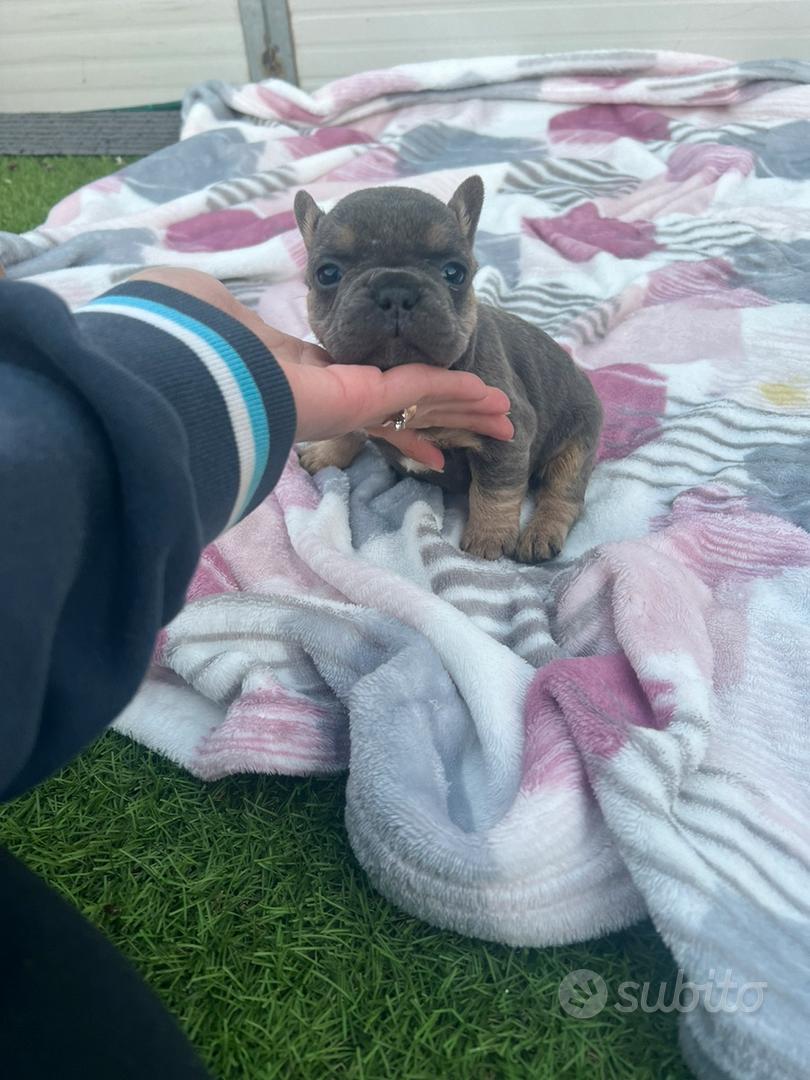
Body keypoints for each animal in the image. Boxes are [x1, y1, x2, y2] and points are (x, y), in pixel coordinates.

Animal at [293, 174, 604, 565]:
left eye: (454, 272)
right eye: (328, 273)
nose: (396, 289)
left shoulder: (508, 432)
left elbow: (495, 488)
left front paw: (489, 537)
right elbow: (349, 427)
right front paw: (326, 451)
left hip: (577, 441)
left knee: (563, 493)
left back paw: (541, 533)